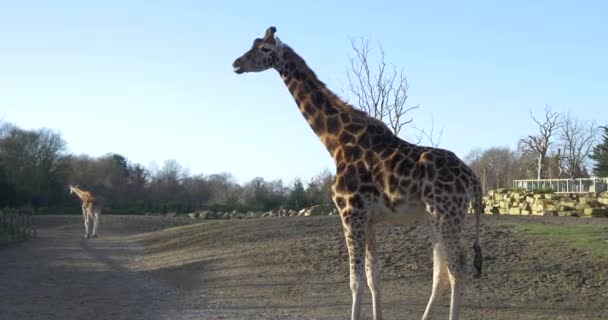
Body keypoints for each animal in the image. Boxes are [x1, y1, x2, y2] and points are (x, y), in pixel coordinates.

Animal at [230, 26, 482, 318]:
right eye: (253, 44)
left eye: (265, 49)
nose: (236, 64)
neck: (335, 142)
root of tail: (473, 178)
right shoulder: (369, 220)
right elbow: (375, 279)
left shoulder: (350, 214)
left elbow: (355, 281)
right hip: (434, 217)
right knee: (441, 273)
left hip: (447, 214)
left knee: (456, 270)